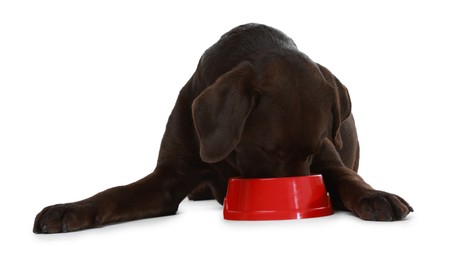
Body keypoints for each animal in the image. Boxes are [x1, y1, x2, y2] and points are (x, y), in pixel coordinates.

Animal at [33, 22, 414, 234]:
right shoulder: (169, 178)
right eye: (267, 150)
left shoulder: (326, 159)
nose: (293, 210)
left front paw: (376, 196)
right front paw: (70, 209)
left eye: (311, 150)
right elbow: (114, 194)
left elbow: (347, 178)